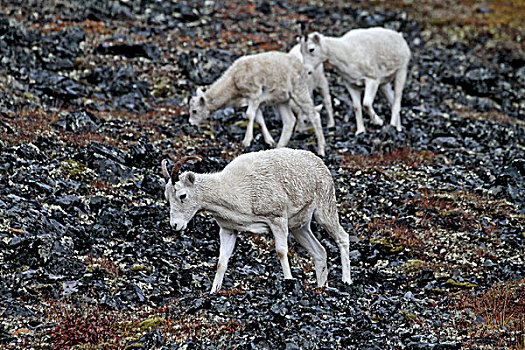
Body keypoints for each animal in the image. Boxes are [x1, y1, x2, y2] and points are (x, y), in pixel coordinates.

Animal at [162, 148, 350, 292]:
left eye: (182, 195)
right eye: (167, 197)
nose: (175, 225)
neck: (236, 190)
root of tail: (320, 163)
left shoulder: (277, 220)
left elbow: (281, 252)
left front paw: (289, 281)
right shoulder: (228, 230)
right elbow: (222, 262)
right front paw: (213, 291)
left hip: (324, 211)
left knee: (342, 238)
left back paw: (346, 280)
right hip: (299, 228)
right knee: (320, 252)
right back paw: (321, 287)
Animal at [188, 50, 326, 156]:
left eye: (194, 111)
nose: (191, 123)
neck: (233, 81)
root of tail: (300, 65)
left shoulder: (254, 95)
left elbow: (249, 115)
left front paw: (246, 141)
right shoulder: (256, 101)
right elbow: (259, 119)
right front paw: (269, 141)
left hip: (299, 92)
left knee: (314, 115)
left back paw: (321, 150)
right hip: (282, 101)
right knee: (289, 120)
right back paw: (279, 147)